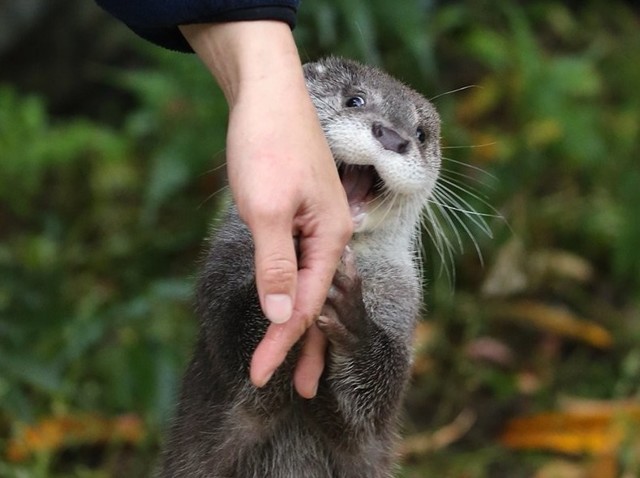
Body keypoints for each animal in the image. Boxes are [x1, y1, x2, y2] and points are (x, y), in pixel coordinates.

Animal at [159, 57, 440, 478]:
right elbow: (236, 344)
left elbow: (374, 400)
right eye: (355, 99)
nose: (394, 137)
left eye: (421, 134)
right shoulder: (222, 268)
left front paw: (352, 316)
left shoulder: (401, 307)